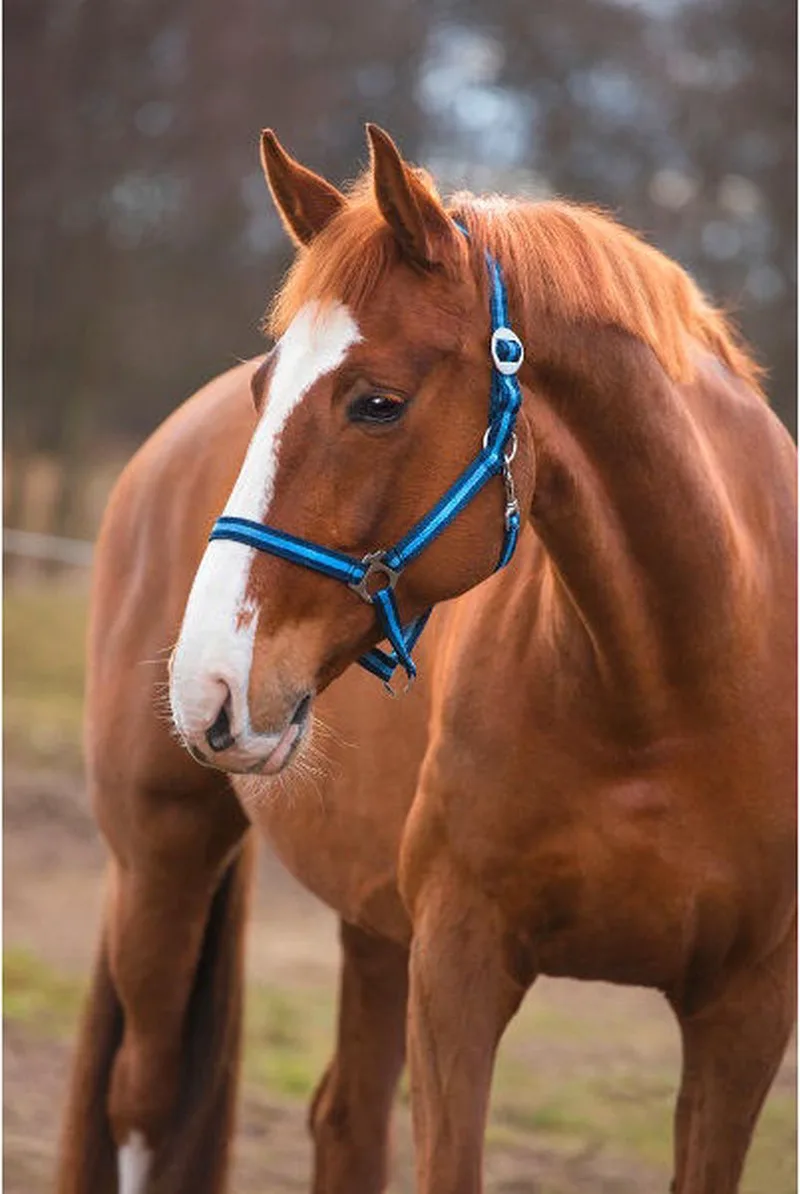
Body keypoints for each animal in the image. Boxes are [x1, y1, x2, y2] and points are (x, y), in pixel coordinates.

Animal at [58, 125, 796, 1194]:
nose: (207, 685)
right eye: (264, 389)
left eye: (377, 403)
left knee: (344, 1119)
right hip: (162, 857)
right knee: (141, 1106)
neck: (668, 691)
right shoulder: (459, 968)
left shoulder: (745, 1014)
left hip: (370, 926)